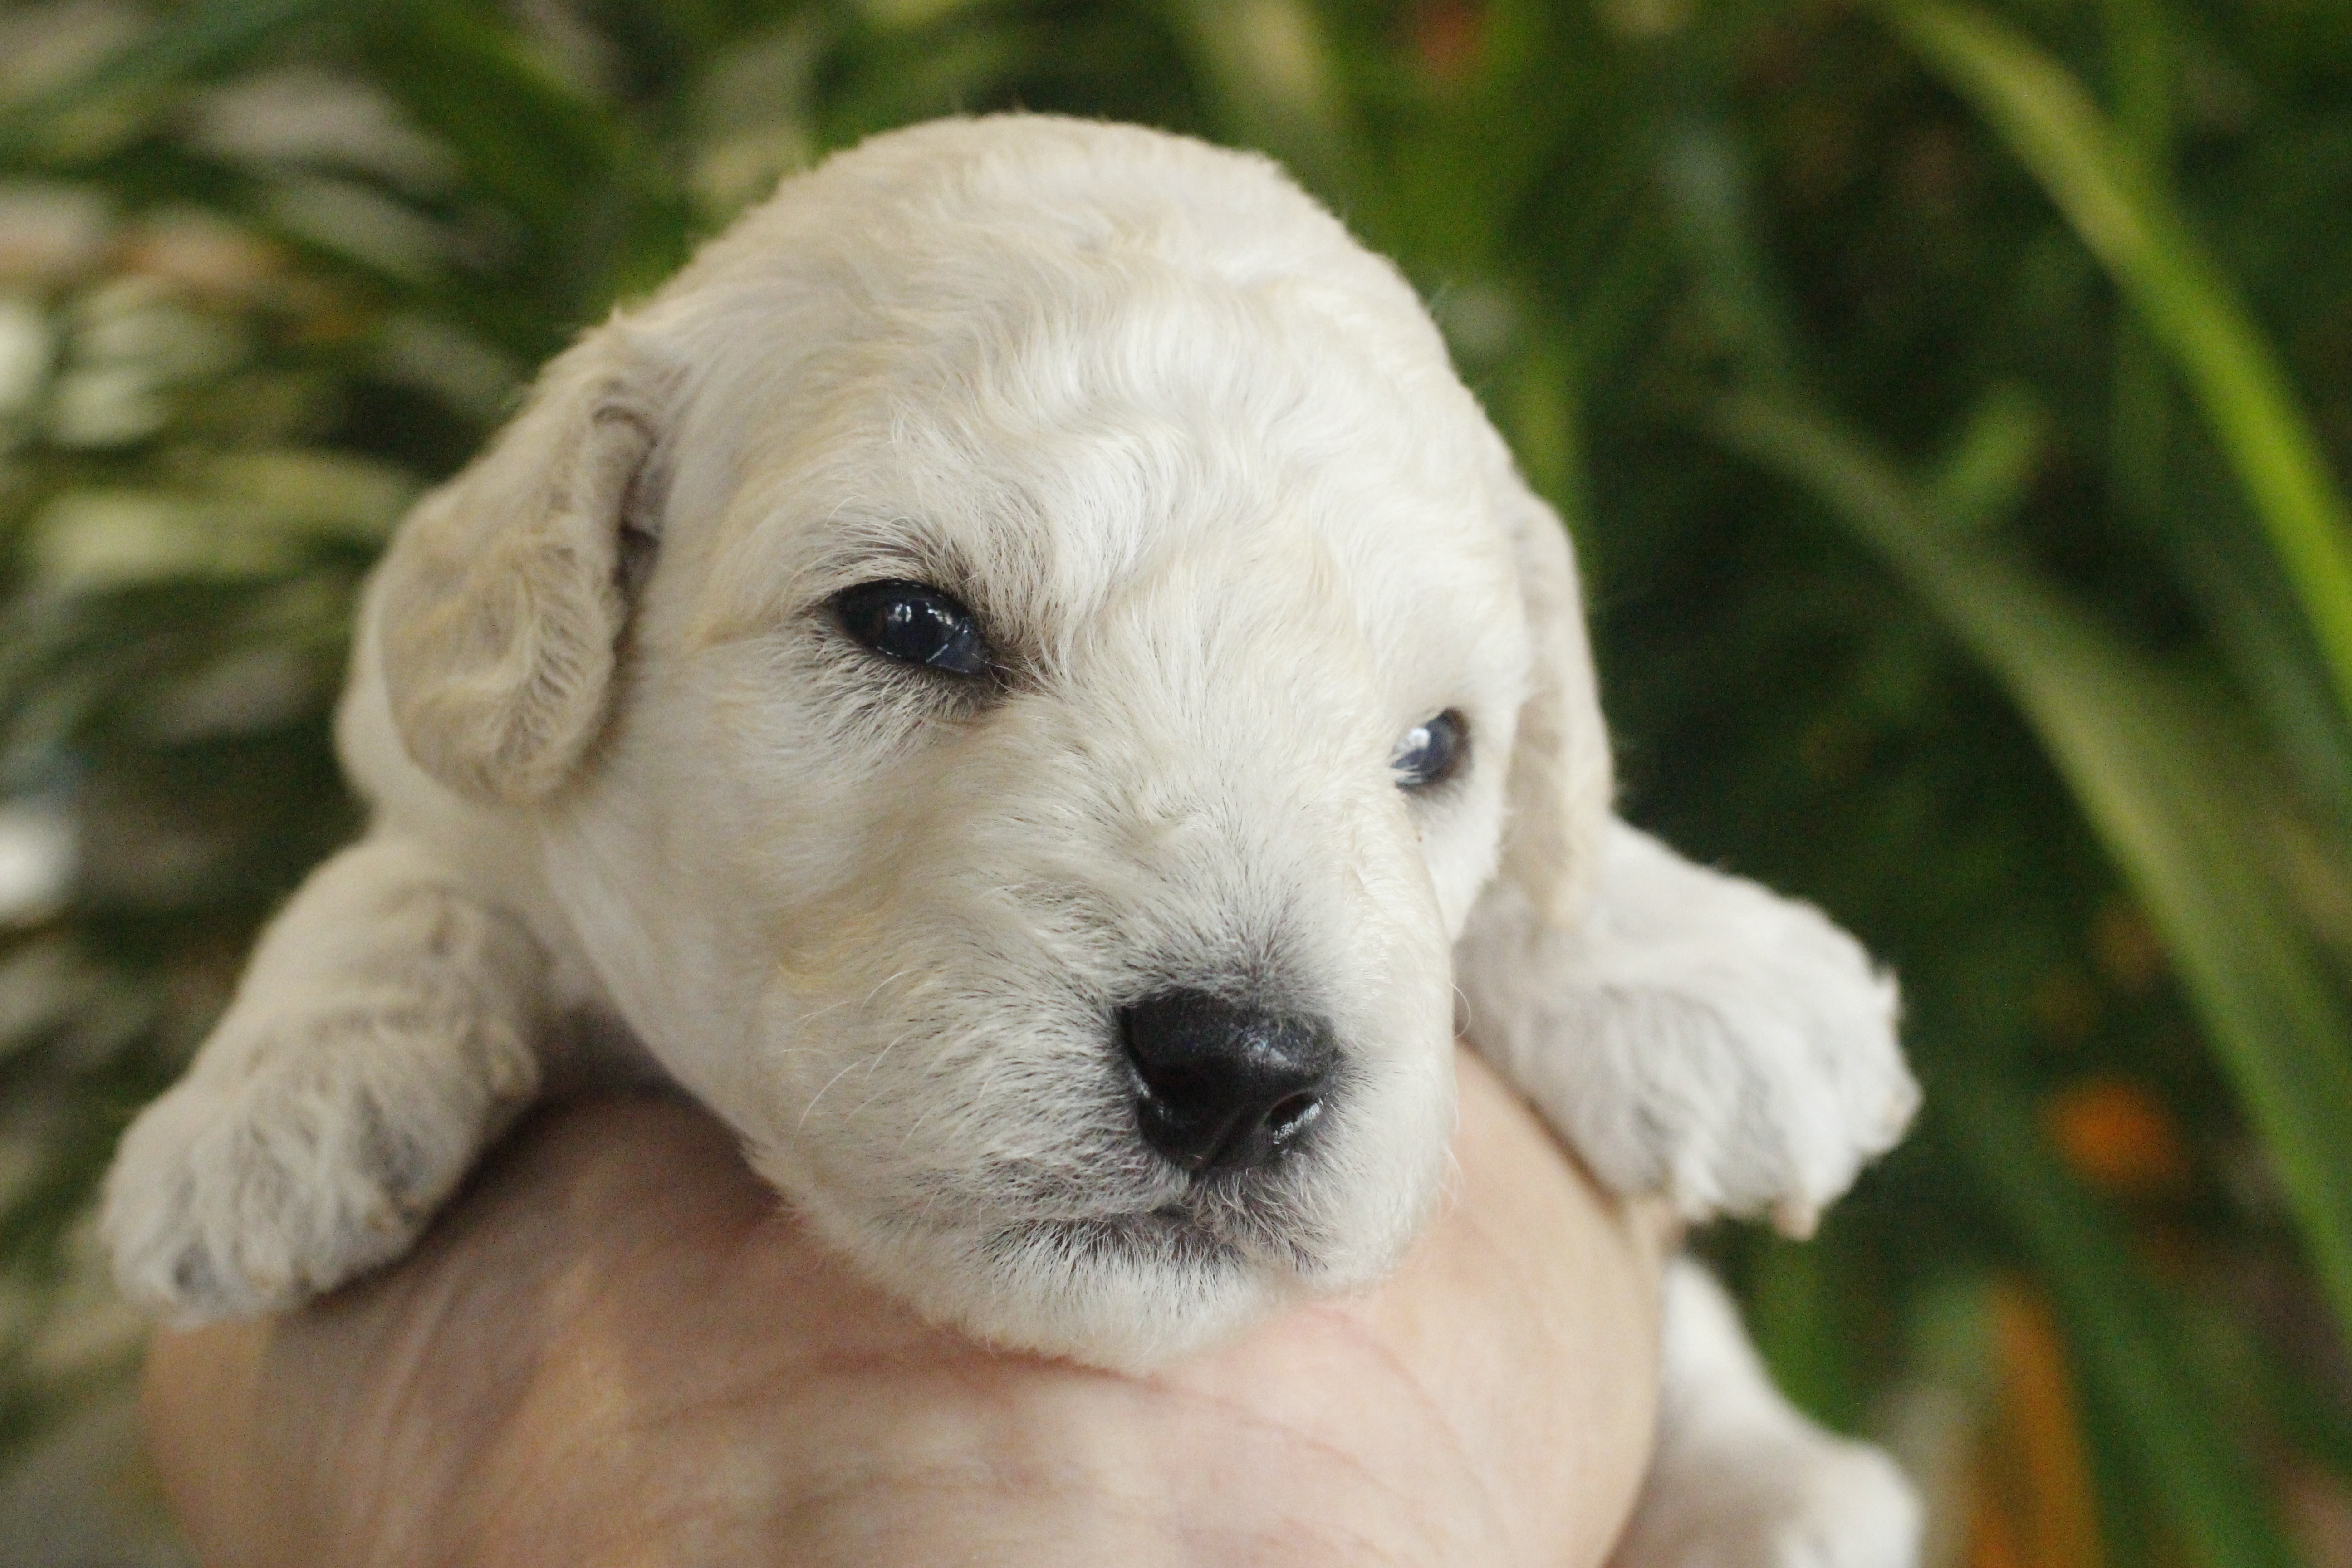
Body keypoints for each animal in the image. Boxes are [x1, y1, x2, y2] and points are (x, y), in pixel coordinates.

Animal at [101, 116, 1919, 1561]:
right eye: (911, 623)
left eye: (1434, 746)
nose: (1240, 1071)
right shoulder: (445, 752)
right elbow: (404, 884)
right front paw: (275, 1110)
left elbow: (1552, 864)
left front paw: (1720, 978)